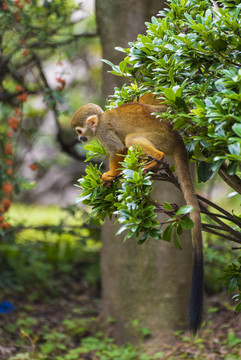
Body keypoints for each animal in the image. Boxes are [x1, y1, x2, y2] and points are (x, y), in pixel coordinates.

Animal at [71, 97, 203, 332]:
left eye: (79, 130)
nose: (80, 138)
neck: (101, 120)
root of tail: (177, 138)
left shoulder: (104, 132)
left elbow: (118, 148)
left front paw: (110, 174)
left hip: (162, 140)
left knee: (132, 138)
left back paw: (155, 160)